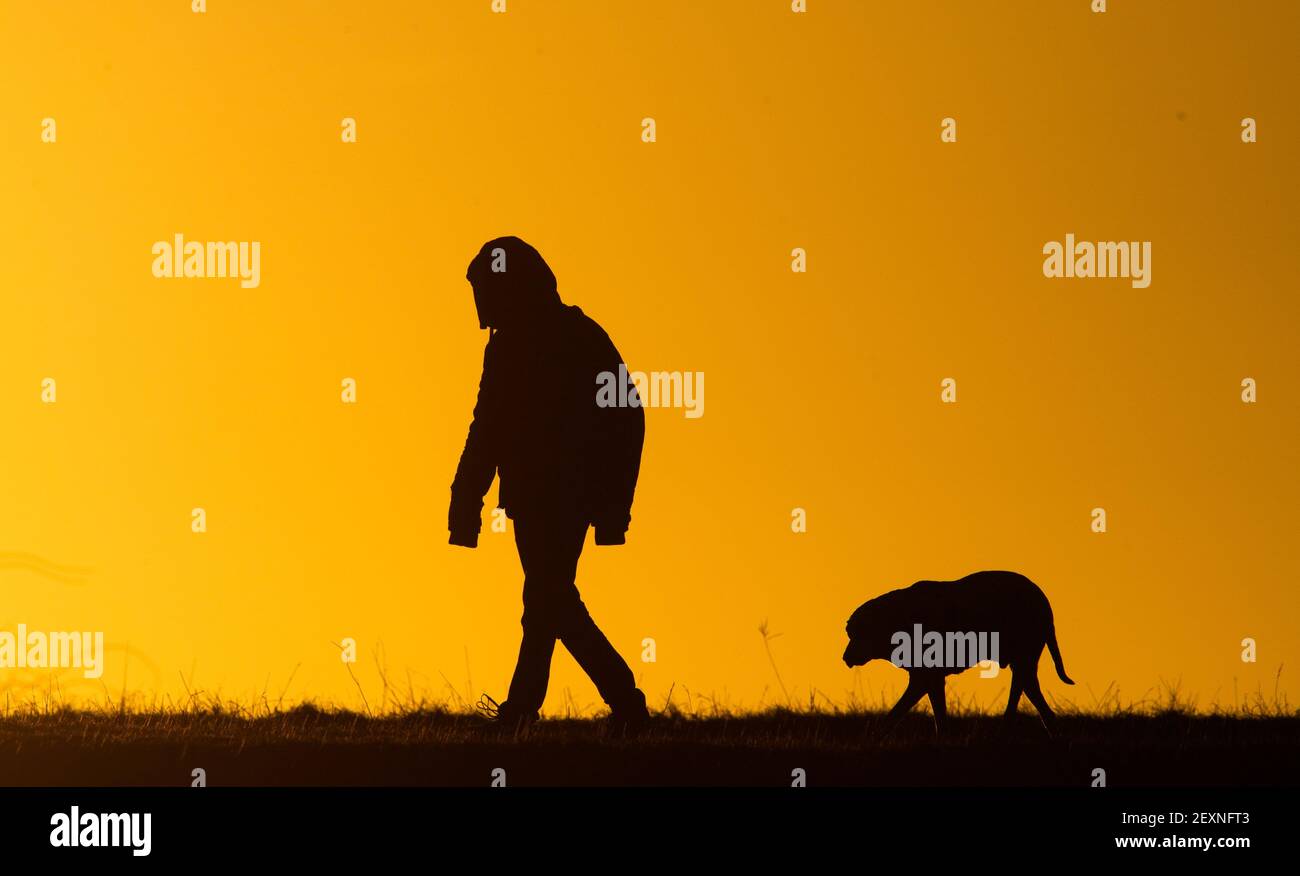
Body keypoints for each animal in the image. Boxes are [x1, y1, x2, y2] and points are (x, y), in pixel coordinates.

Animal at [847, 569, 1071, 733]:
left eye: (856, 634)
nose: (845, 657)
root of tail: (1043, 601)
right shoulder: (931, 675)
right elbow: (937, 706)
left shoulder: (925, 672)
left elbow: (907, 703)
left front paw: (876, 733)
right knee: (1027, 684)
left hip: (1025, 645)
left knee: (1024, 683)